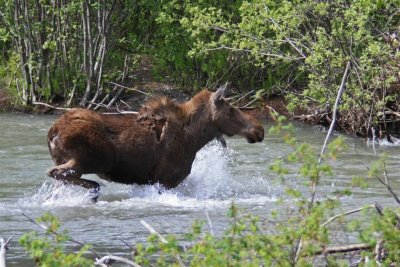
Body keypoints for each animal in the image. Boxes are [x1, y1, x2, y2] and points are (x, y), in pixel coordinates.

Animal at [47, 86, 264, 193]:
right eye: (231, 109)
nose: (259, 129)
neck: (194, 139)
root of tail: (52, 131)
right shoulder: (166, 179)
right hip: (96, 160)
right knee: (55, 172)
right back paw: (94, 189)